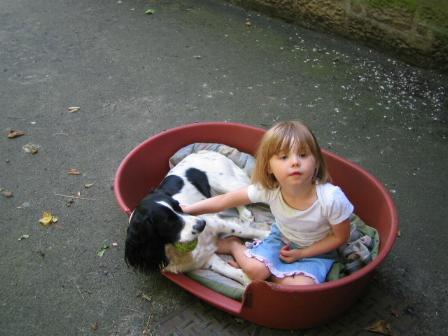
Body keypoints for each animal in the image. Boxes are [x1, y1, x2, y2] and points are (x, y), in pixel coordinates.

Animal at [124, 151, 268, 284]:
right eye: (167, 221)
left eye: (178, 206)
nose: (202, 224)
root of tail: (206, 151)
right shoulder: (205, 258)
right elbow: (229, 271)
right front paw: (248, 281)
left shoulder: (217, 223)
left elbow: (247, 231)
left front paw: (267, 235)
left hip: (225, 183)